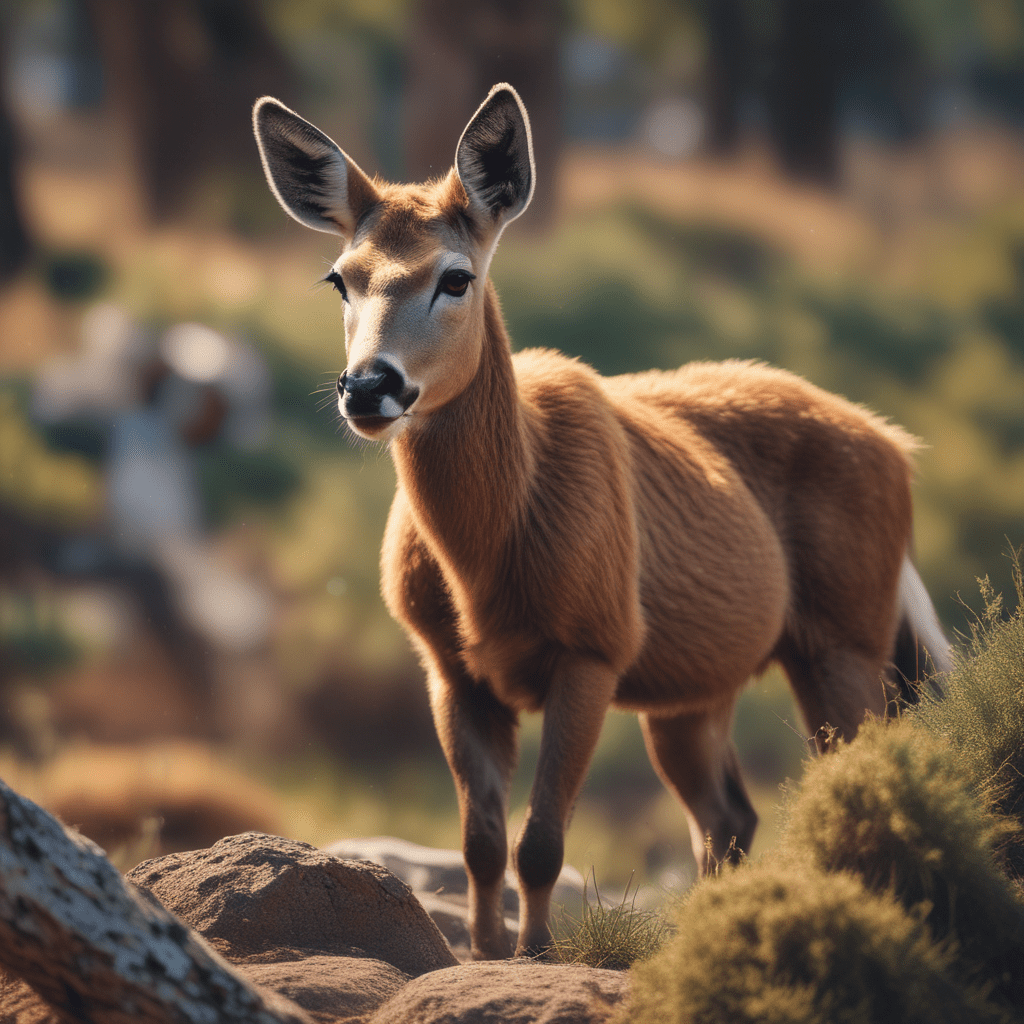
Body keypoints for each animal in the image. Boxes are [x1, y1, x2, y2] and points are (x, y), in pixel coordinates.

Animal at [253, 79, 950, 958]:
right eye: (341, 278)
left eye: (456, 277)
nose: (369, 386)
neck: (485, 566)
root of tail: (898, 448)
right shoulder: (448, 664)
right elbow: (480, 841)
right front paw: (487, 953)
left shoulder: (592, 645)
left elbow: (541, 841)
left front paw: (536, 954)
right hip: (698, 688)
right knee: (728, 815)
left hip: (847, 636)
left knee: (853, 776)